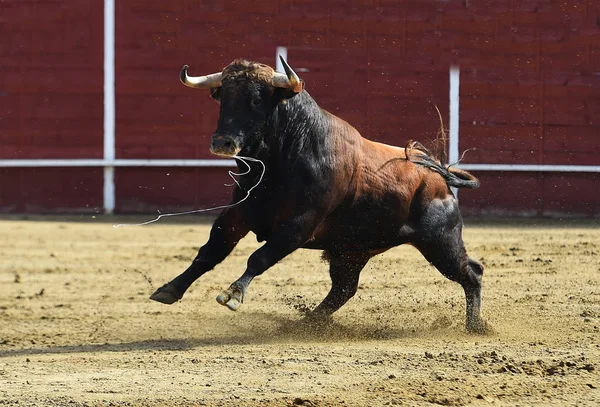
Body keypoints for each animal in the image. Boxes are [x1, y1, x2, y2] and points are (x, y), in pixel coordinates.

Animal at [151, 55, 488, 334]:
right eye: (223, 96)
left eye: (258, 99)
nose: (223, 142)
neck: (282, 160)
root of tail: (438, 176)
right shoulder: (238, 213)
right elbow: (211, 251)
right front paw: (170, 289)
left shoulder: (299, 225)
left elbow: (259, 257)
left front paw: (233, 294)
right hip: (352, 250)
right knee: (344, 289)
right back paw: (304, 322)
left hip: (440, 242)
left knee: (472, 272)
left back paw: (476, 326)